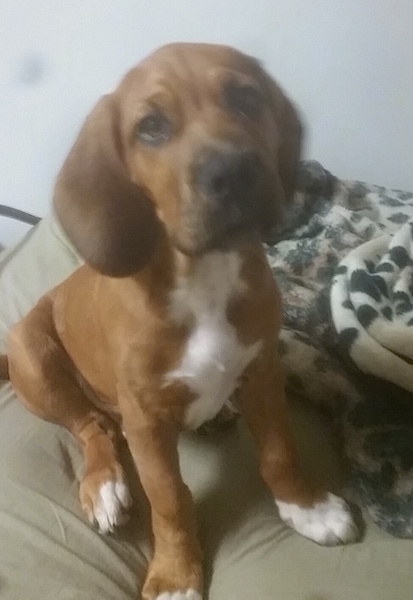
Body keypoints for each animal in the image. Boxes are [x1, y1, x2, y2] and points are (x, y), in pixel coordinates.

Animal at [0, 45, 358, 600]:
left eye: (246, 97)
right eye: (151, 127)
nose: (234, 171)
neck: (204, 275)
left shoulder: (263, 372)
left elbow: (279, 451)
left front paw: (307, 507)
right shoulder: (146, 418)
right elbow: (169, 498)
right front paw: (174, 572)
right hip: (33, 353)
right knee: (91, 427)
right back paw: (104, 484)